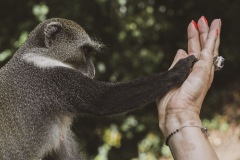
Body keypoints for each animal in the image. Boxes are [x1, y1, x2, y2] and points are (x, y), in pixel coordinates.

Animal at [0, 18, 196, 159]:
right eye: (85, 52)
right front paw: (177, 71)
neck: (37, 53)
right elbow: (104, 99)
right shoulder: (50, 79)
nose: (93, 70)